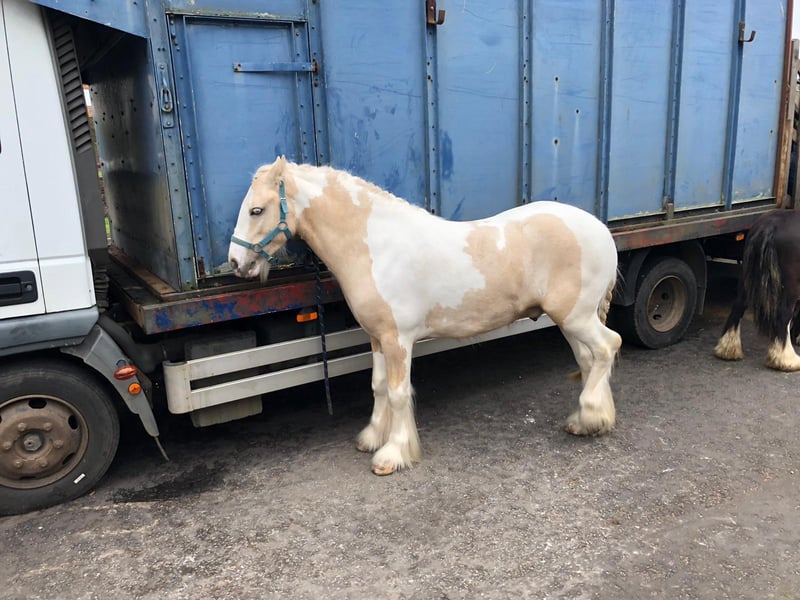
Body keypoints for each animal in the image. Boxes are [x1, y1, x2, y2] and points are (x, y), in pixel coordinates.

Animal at [228, 157, 622, 475]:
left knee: (608, 347)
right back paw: (589, 422)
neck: (376, 245)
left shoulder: (398, 340)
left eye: (257, 210)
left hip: (576, 317)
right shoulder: (376, 337)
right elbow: (378, 386)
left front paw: (392, 454)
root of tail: (600, 229)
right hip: (571, 321)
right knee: (588, 359)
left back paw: (590, 413)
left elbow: (399, 392)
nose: (235, 262)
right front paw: (372, 437)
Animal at [715, 209, 800, 371]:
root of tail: (770, 225)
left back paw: (728, 349)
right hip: (791, 284)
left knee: (738, 305)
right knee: (784, 314)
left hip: (746, 275)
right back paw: (785, 360)